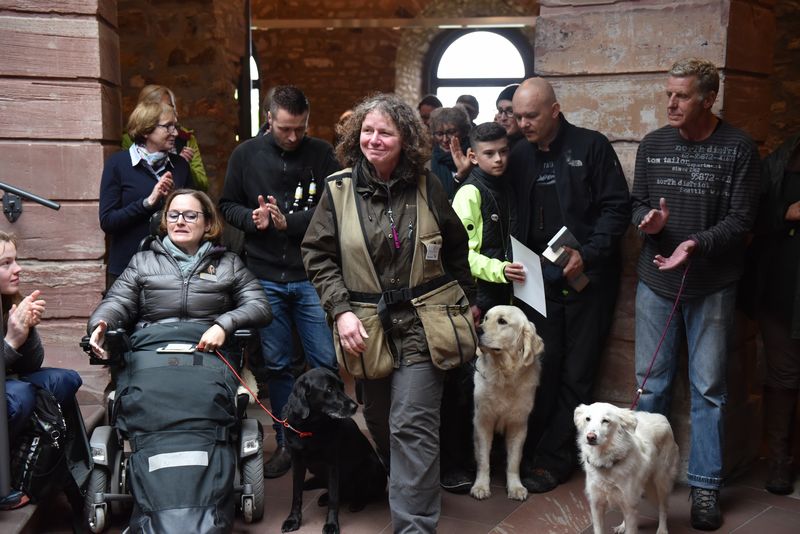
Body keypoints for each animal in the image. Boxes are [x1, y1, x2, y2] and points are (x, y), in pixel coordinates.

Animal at [280, 368, 386, 534]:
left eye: (342, 387)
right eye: (329, 389)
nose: (355, 406)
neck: (310, 428)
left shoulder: (332, 466)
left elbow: (334, 498)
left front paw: (331, 524)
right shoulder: (297, 463)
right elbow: (296, 494)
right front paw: (293, 520)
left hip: (371, 464)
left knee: (363, 493)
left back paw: (357, 502)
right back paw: (324, 497)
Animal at [470, 305, 544, 501]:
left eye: (502, 321)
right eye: (485, 318)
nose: (477, 329)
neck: (503, 374)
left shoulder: (518, 424)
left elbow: (514, 461)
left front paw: (516, 487)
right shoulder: (483, 421)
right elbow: (483, 459)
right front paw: (480, 486)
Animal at [574, 402, 679, 534]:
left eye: (605, 421)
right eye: (587, 419)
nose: (590, 437)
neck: (606, 462)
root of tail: (661, 416)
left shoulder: (628, 503)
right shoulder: (596, 505)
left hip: (661, 482)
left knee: (663, 508)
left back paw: (662, 529)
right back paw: (623, 526)